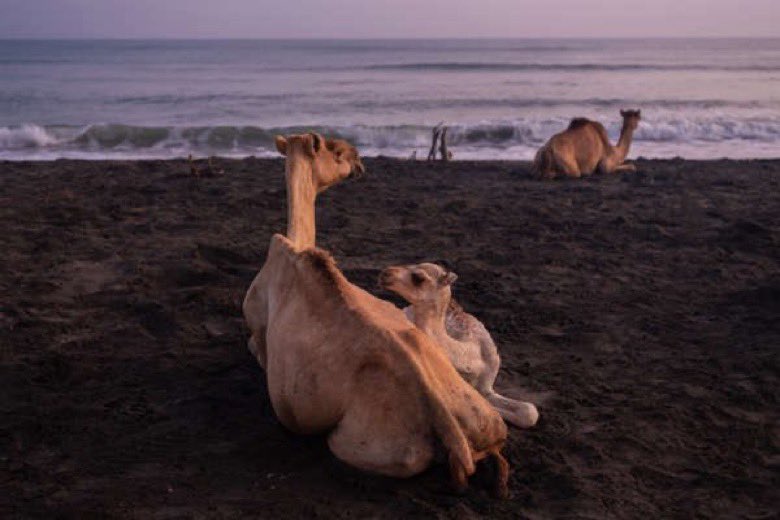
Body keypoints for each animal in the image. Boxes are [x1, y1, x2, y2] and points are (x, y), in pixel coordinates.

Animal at [242, 133, 510, 496]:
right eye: (335, 151)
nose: (358, 158)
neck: (295, 248)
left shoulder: (257, 326)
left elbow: (254, 346)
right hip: (484, 417)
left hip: (363, 444)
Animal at [379, 263, 539, 429]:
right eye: (409, 265)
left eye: (419, 277)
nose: (385, 273)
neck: (471, 356)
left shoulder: (487, 385)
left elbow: (529, 411)